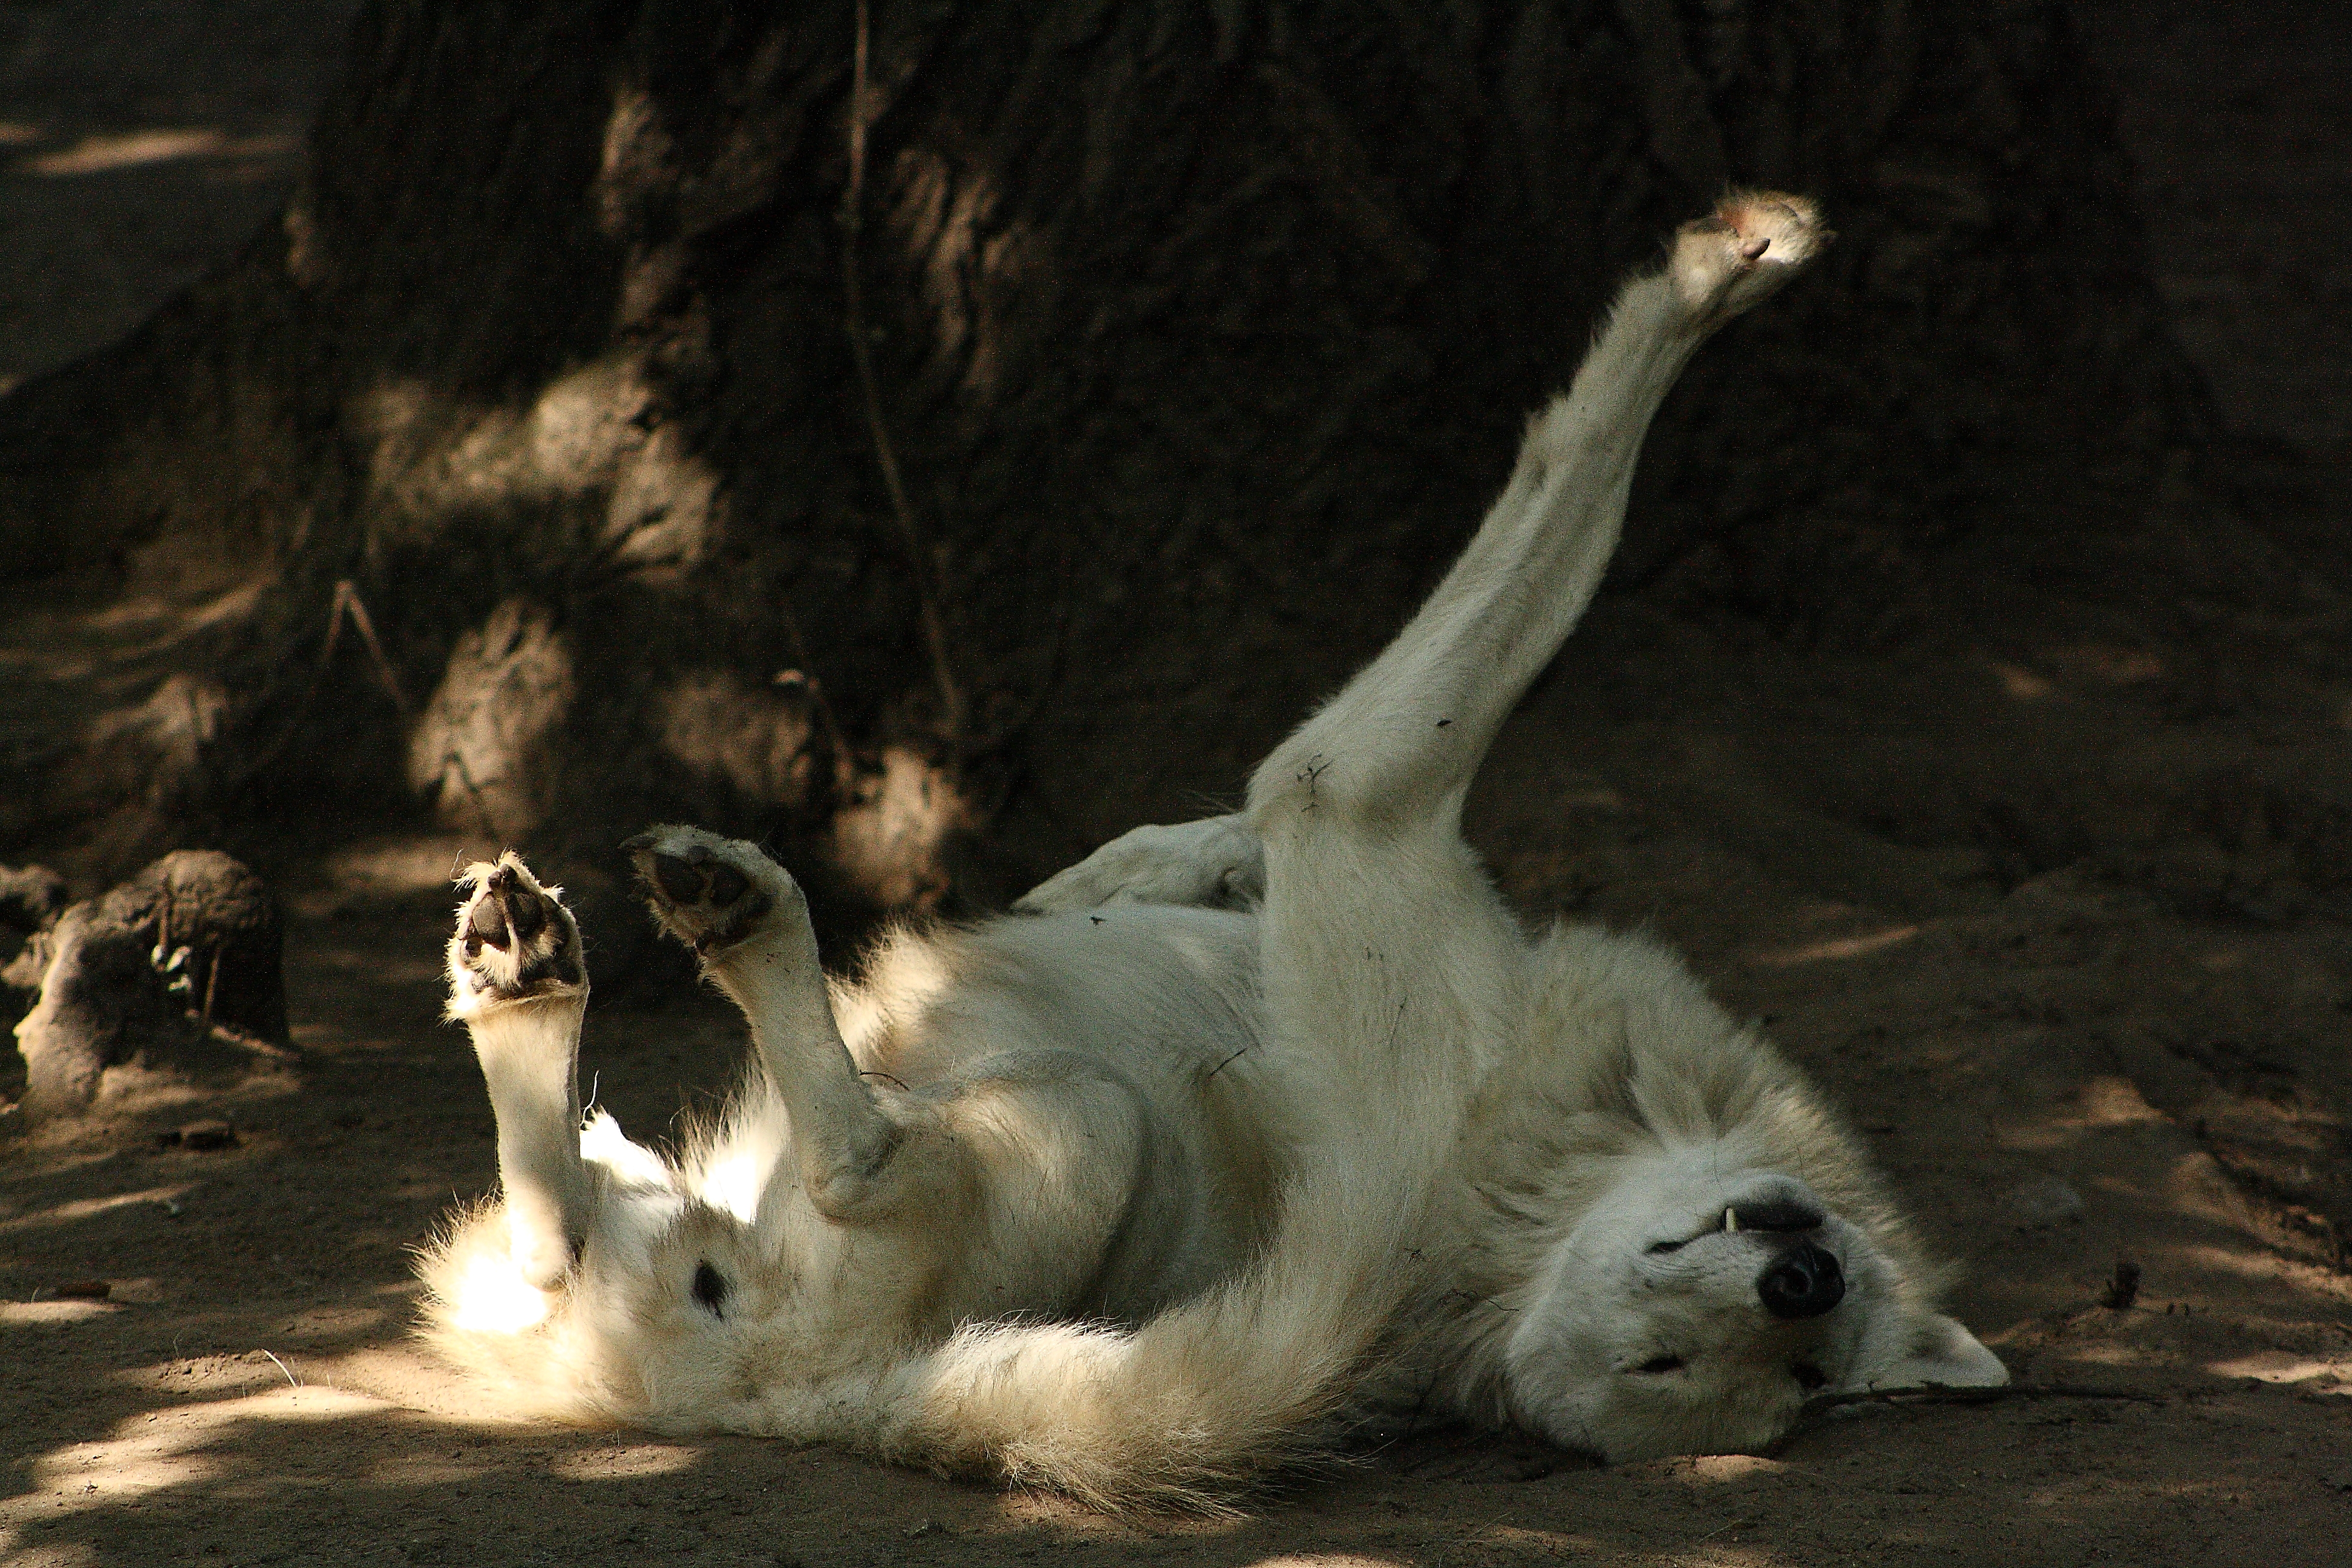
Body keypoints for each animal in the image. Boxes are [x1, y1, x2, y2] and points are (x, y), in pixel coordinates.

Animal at [414, 192, 1994, 1504]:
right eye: (1784, 1349)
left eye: (1726, 1373)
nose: (1801, 1281)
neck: (1512, 1181)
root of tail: (807, 1408)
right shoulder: (1332, 818)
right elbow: (1204, 829)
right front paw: (1121, 873)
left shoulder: (1349, 787)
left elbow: (1552, 493)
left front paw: (1710, 277)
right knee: (558, 1216)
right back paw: (528, 969)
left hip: (1076, 1122)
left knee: (835, 1155)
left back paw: (696, 925)